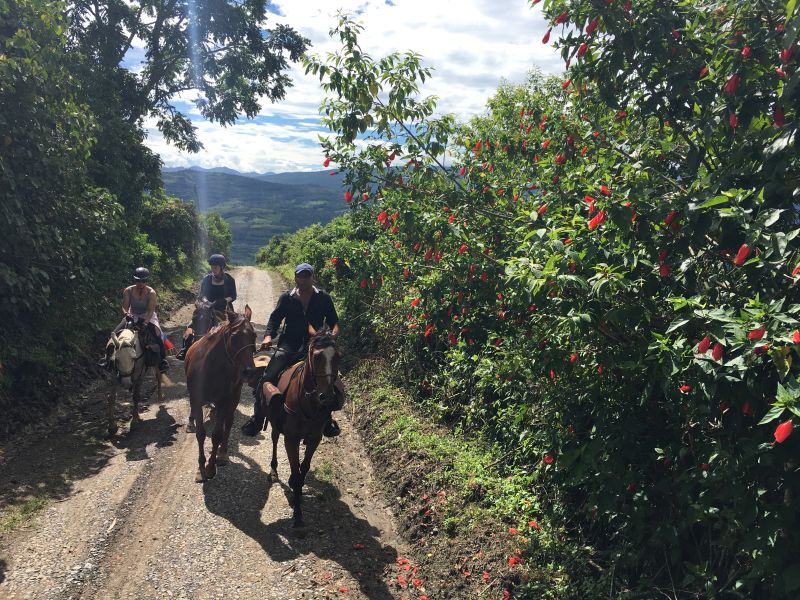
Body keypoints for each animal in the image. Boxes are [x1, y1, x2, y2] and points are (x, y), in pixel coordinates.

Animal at [184, 304, 256, 482]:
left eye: (254, 336)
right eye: (234, 337)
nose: (249, 372)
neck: (210, 369)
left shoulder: (224, 401)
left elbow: (217, 434)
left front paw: (210, 467)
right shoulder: (196, 399)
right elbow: (201, 434)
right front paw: (201, 468)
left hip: (234, 396)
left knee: (228, 422)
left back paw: (222, 454)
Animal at [258, 326, 342, 528]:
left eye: (339, 357)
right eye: (316, 356)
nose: (328, 397)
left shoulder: (314, 438)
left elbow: (303, 469)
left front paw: (299, 494)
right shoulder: (291, 438)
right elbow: (296, 471)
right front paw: (297, 514)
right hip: (275, 423)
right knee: (274, 439)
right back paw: (273, 471)